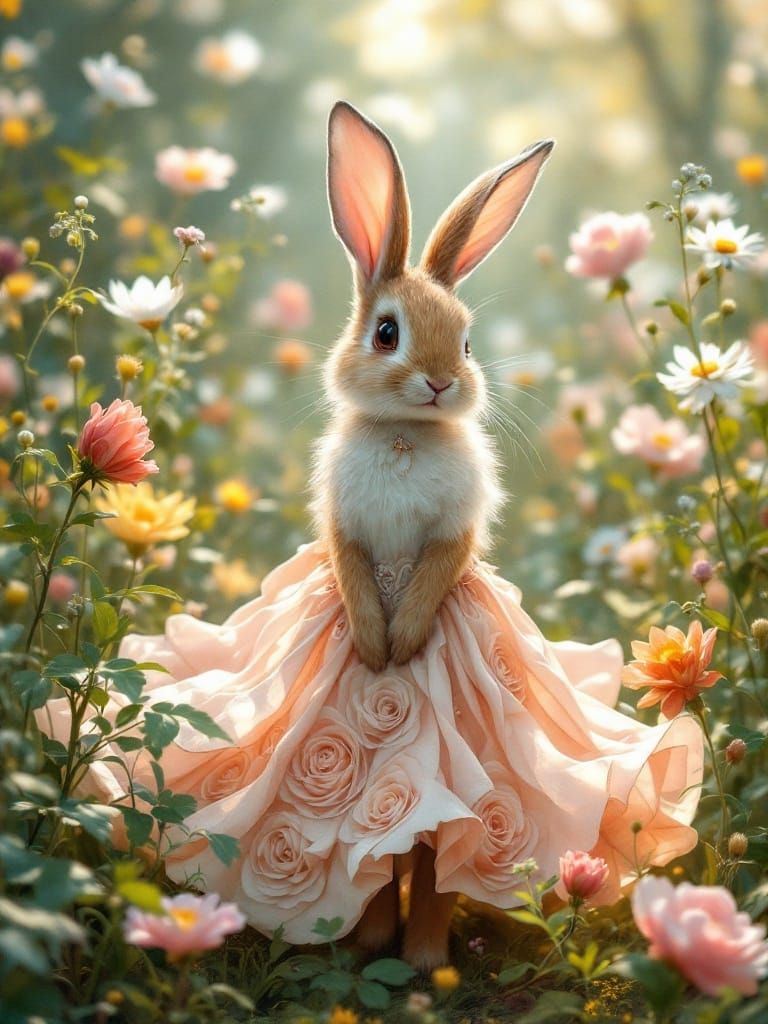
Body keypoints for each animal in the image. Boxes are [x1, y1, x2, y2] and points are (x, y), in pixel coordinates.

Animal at [310, 101, 554, 969]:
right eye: (387, 334)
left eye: (469, 341)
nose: (444, 382)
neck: (404, 434)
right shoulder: (342, 526)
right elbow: (350, 567)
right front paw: (375, 646)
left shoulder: (456, 534)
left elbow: (441, 563)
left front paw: (406, 640)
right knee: (387, 854)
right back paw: (379, 940)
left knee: (441, 853)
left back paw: (421, 956)